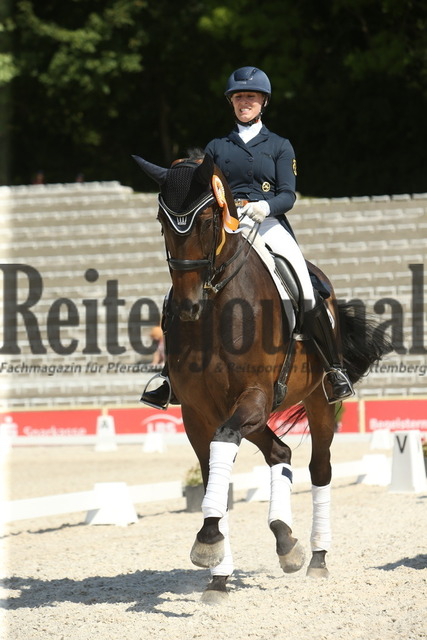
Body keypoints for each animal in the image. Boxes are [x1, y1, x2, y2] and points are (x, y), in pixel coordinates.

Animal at [134, 152, 392, 604]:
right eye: (163, 222)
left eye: (207, 221)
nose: (186, 307)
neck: (217, 310)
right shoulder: (198, 412)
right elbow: (213, 476)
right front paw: (218, 569)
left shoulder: (252, 395)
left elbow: (225, 450)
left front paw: (208, 543)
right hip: (250, 413)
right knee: (279, 453)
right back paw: (285, 542)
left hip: (316, 401)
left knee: (319, 468)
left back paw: (316, 557)